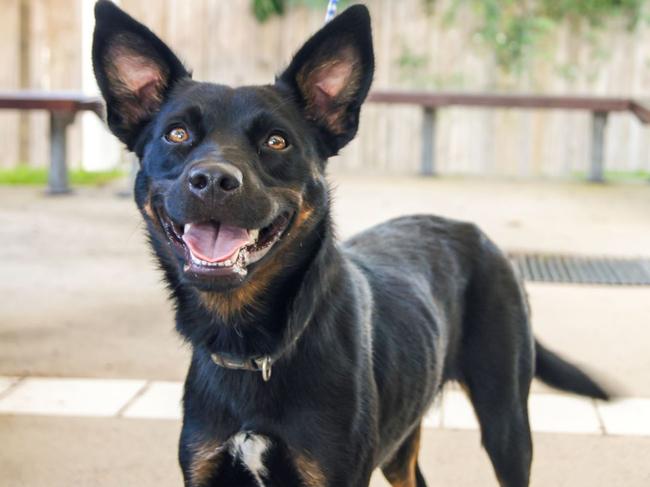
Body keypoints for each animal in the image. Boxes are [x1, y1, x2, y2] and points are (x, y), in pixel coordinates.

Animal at [91, 1, 608, 486]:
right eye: (177, 133)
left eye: (276, 141)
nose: (213, 180)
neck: (254, 349)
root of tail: (471, 230)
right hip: (402, 439)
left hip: (506, 423)